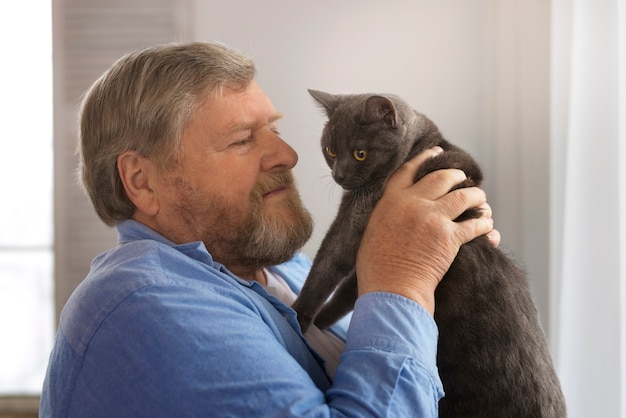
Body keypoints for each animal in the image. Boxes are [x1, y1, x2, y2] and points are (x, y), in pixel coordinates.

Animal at [292, 90, 564, 418]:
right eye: (331, 150)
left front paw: (297, 317)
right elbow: (349, 289)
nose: (339, 175)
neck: (418, 146)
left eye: (360, 154)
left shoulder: (356, 216)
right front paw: (320, 322)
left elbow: (326, 267)